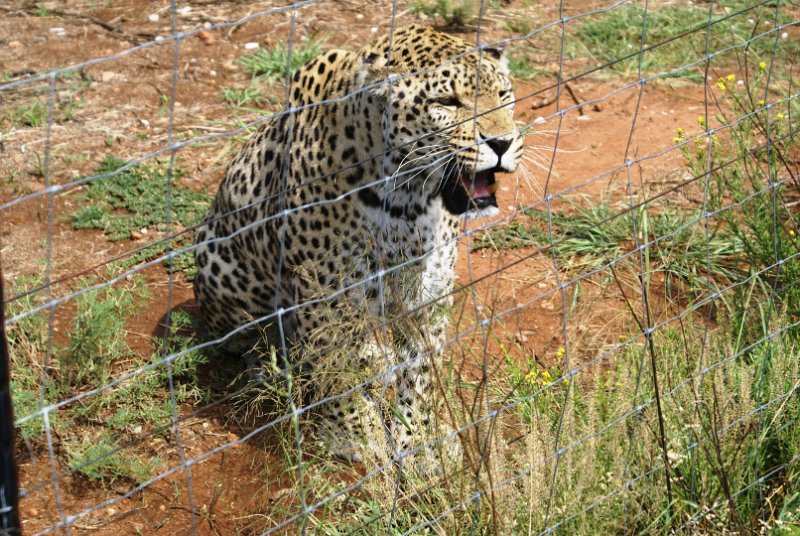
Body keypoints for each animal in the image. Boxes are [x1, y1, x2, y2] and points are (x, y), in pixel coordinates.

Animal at [193, 24, 523, 471]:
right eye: (446, 103)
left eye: (504, 94)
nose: (503, 142)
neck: (408, 200)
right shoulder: (324, 295)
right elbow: (337, 373)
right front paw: (358, 436)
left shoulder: (429, 293)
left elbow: (421, 374)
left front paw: (420, 441)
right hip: (219, 259)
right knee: (255, 341)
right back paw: (275, 367)